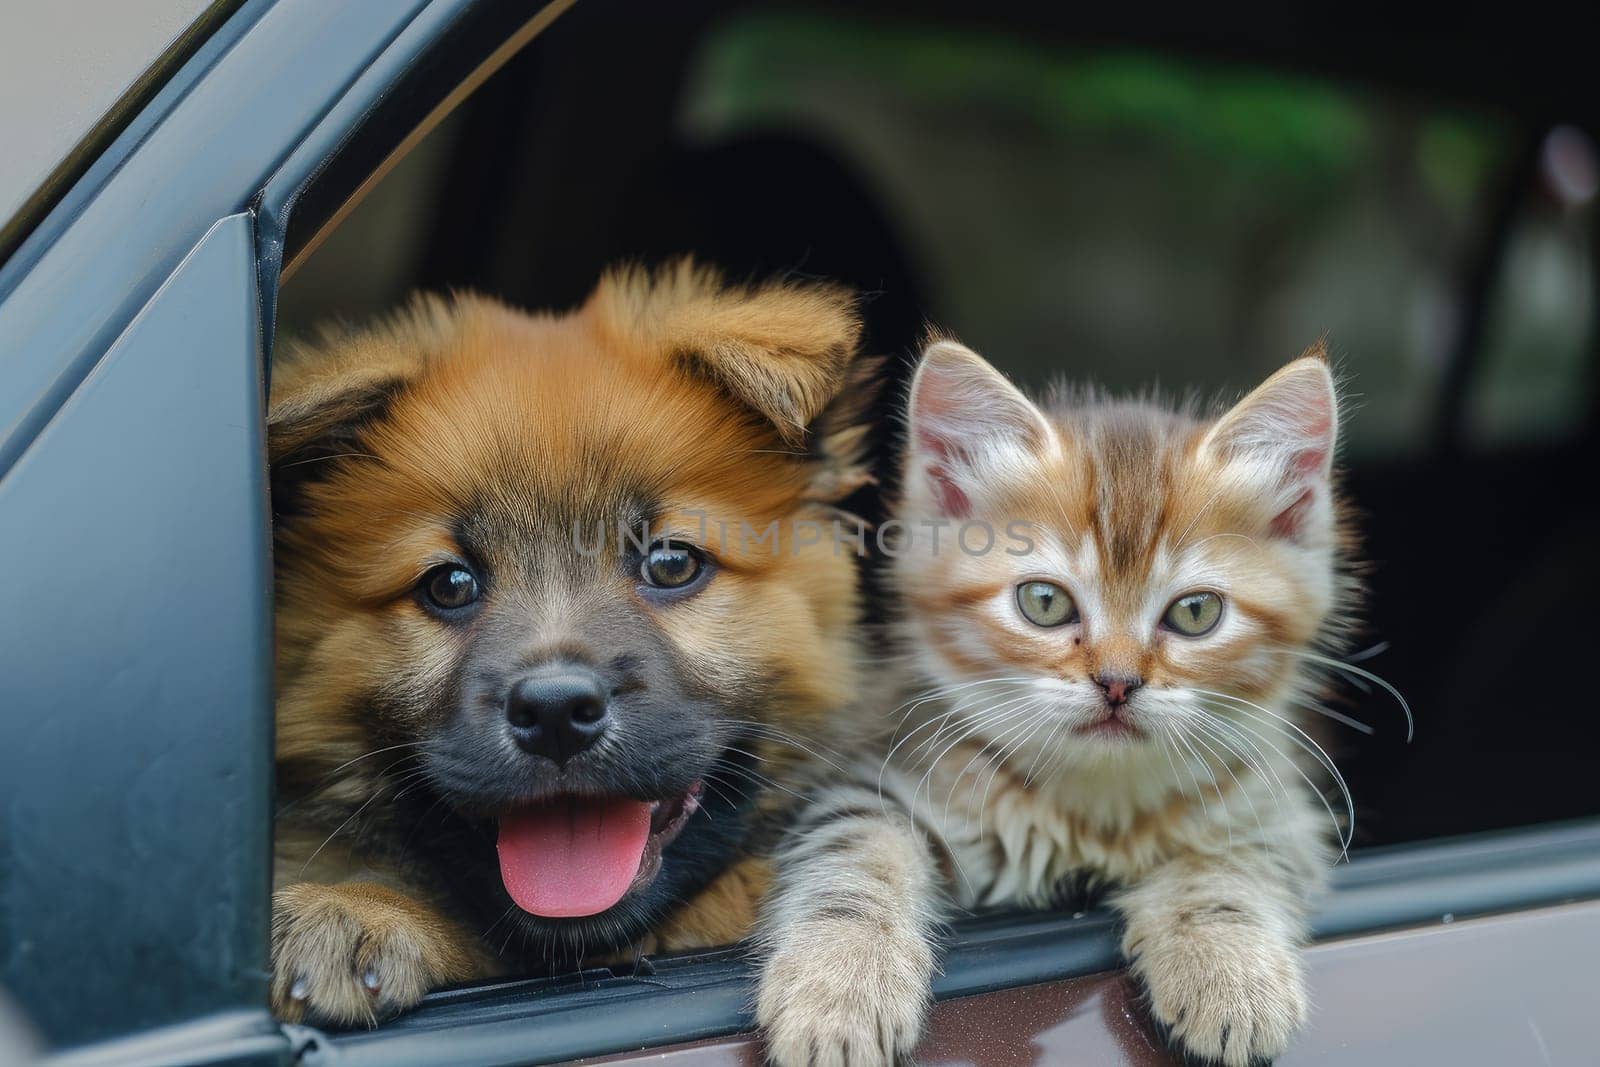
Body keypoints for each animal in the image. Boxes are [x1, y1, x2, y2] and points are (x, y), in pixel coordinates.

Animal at [755, 340, 1356, 1067]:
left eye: (1196, 612)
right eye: (1044, 602)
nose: (1118, 681)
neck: (1095, 806)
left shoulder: (1276, 812)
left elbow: (1224, 867)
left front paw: (1228, 971)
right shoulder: (872, 768)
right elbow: (855, 850)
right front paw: (839, 983)